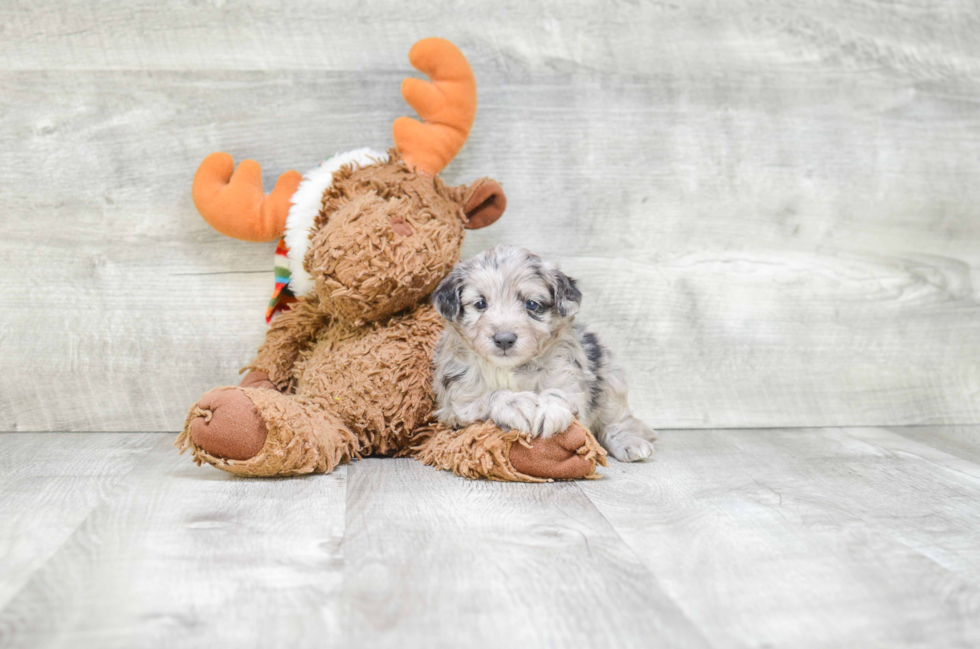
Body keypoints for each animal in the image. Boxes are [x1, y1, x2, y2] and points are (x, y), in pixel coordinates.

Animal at [430, 243, 656, 460]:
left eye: (532, 304)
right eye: (480, 303)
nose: (504, 339)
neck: (509, 368)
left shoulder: (570, 379)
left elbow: (560, 393)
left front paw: (549, 408)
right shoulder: (457, 404)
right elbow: (491, 395)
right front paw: (515, 404)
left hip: (610, 378)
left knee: (618, 420)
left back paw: (630, 443)